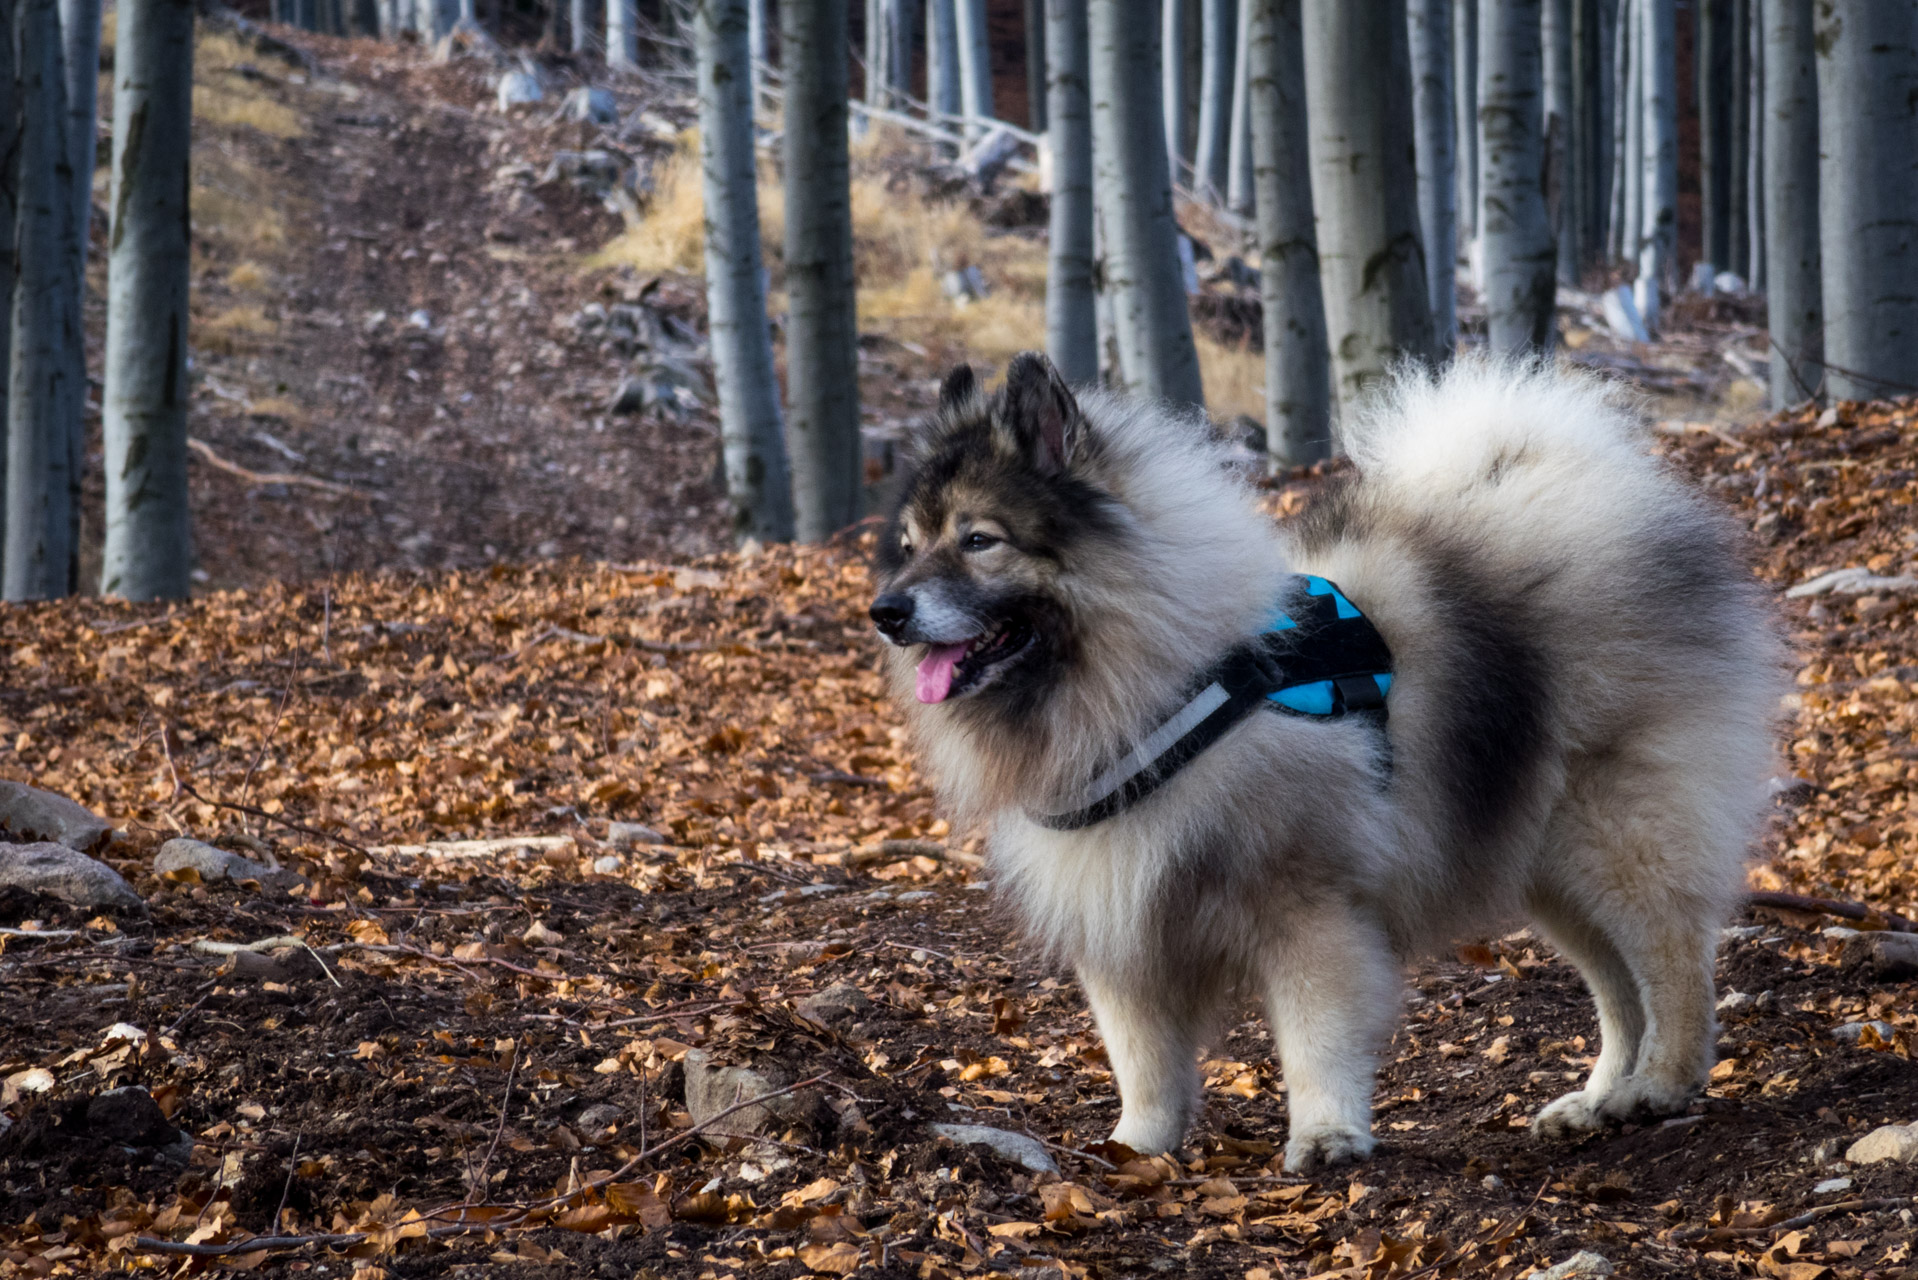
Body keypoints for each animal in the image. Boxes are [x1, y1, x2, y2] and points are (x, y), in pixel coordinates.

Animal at [870, 351, 1779, 1174]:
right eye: (908, 546)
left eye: (979, 540)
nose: (886, 612)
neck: (1160, 683)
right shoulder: (1122, 922)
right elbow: (1144, 1060)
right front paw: (1136, 1147)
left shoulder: (1306, 908)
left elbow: (1315, 1034)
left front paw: (1326, 1135)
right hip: (1544, 863)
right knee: (1618, 986)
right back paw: (1600, 1098)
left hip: (1612, 832)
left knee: (1671, 956)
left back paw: (1662, 1082)